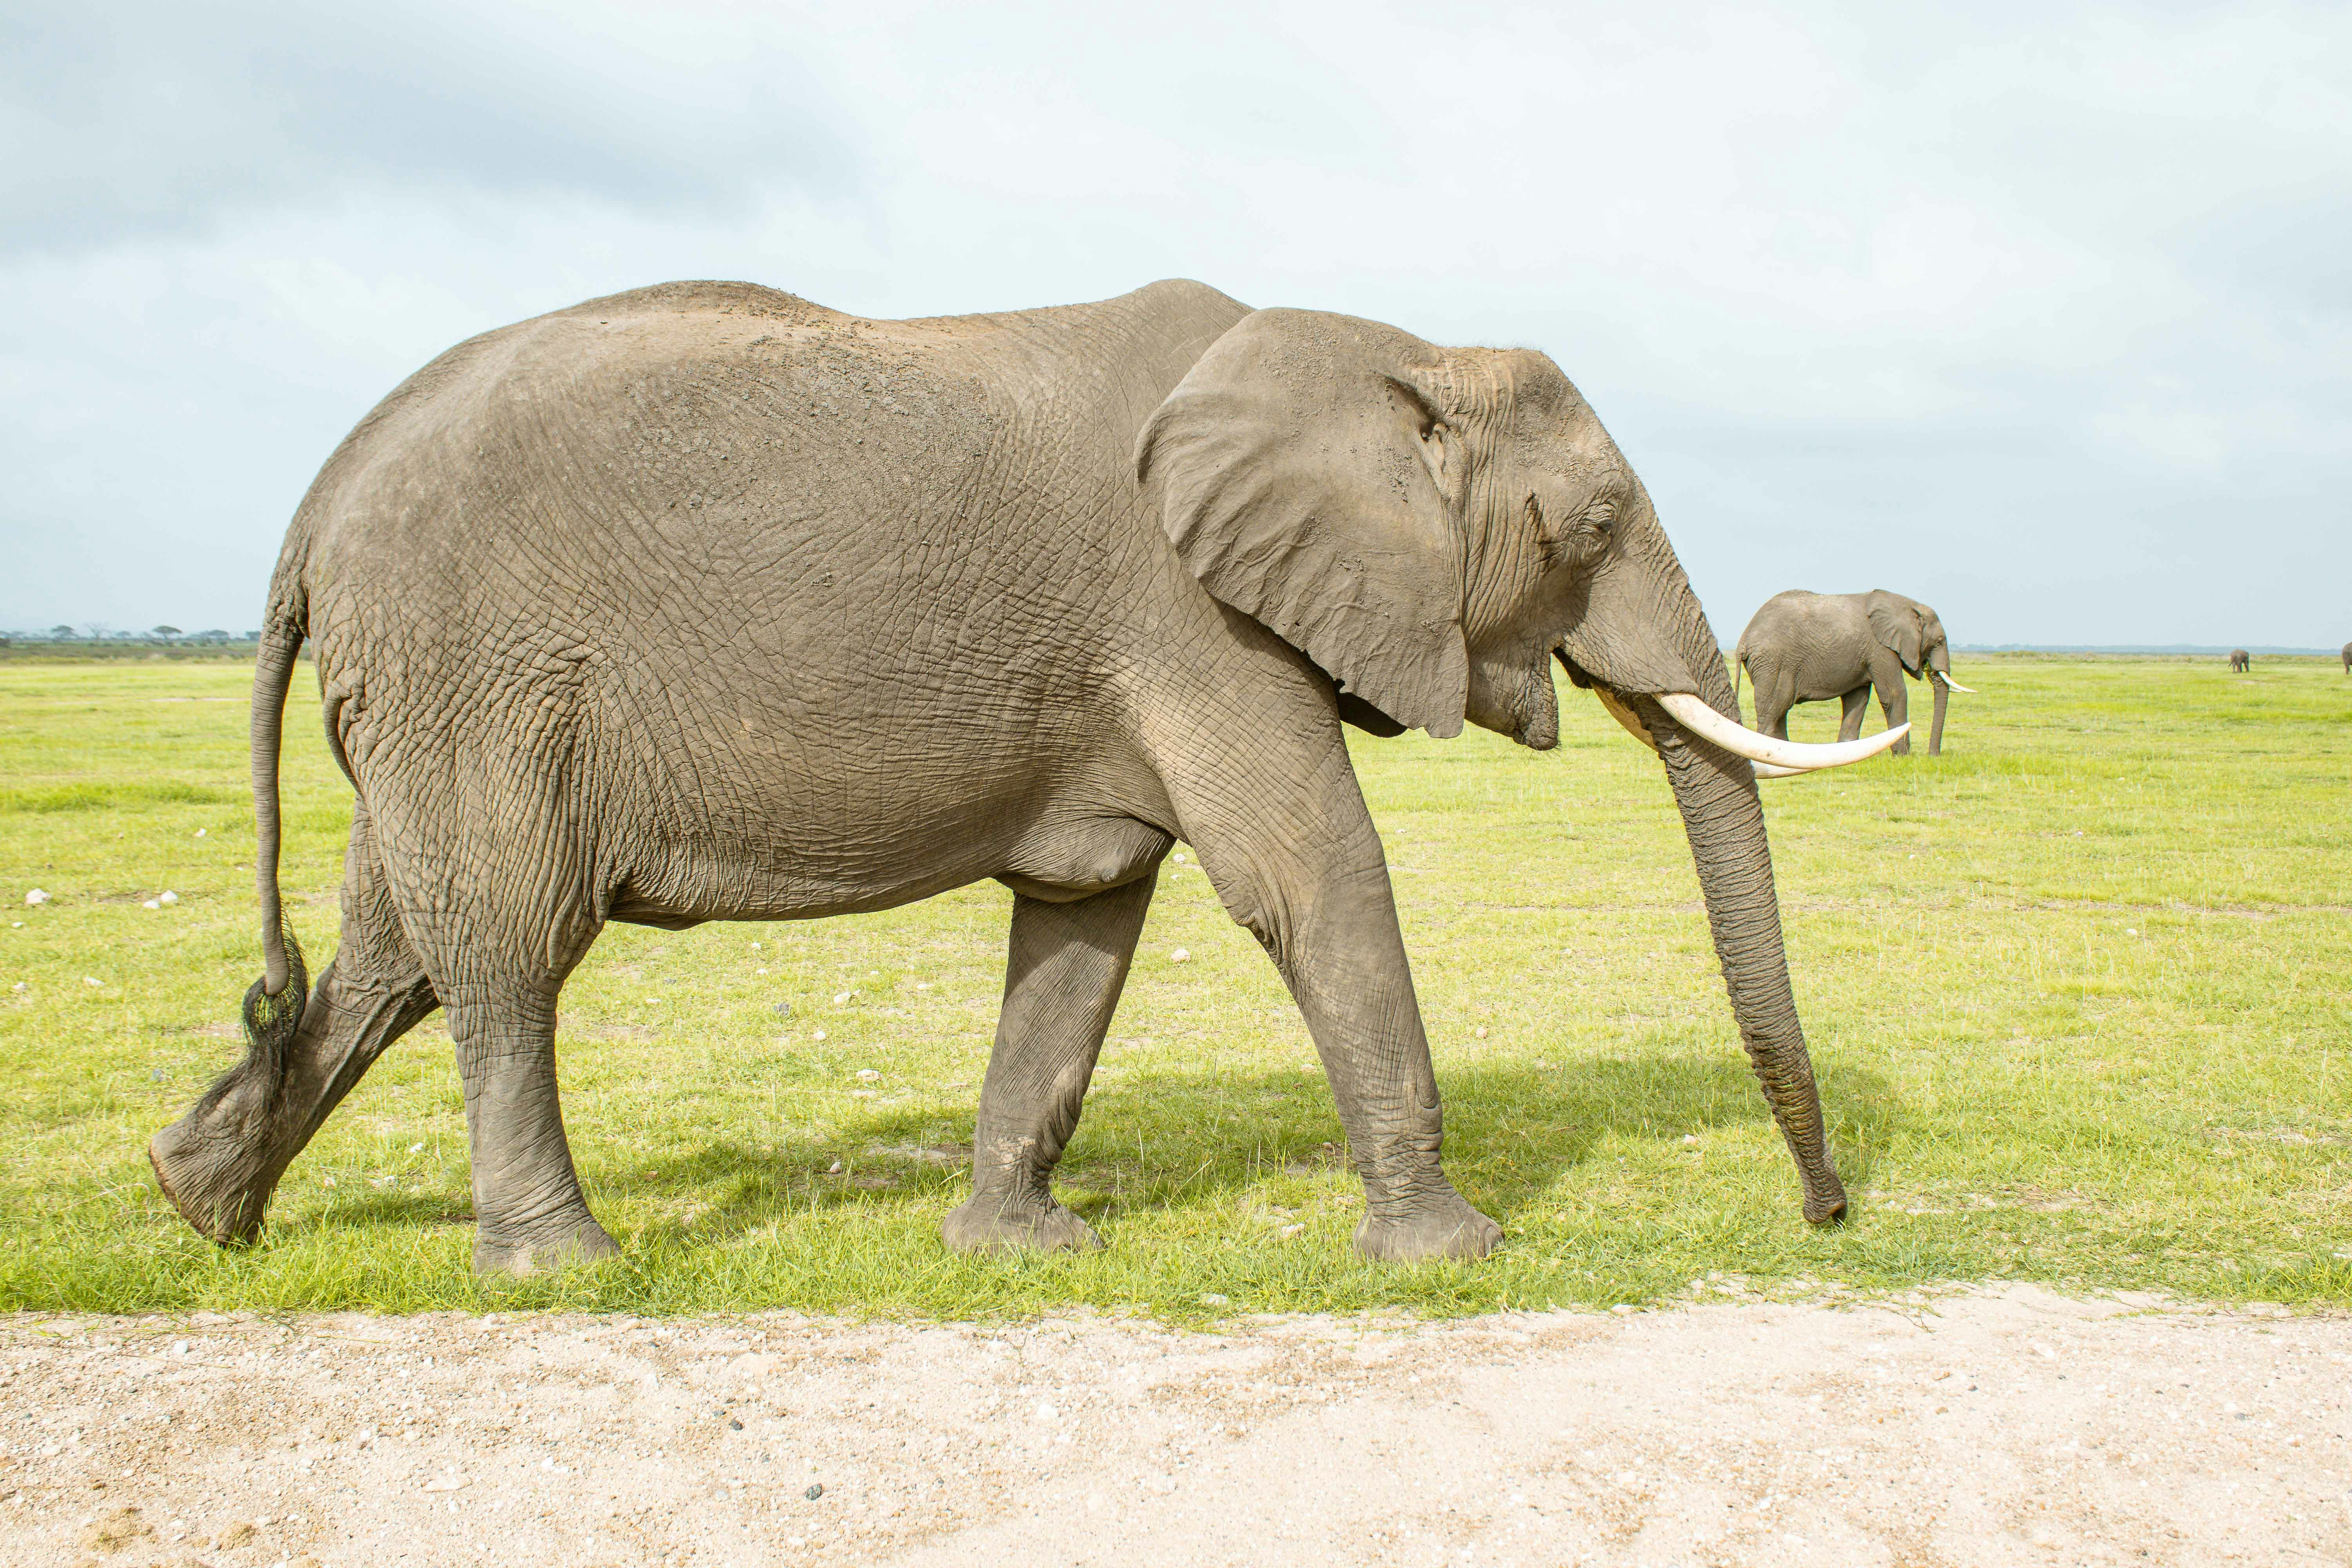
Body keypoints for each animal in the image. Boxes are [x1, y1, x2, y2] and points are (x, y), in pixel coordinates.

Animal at [149, 279, 1899, 1276]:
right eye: (1595, 526)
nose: (1827, 1216)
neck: (1391, 353)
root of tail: (310, 509)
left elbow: (1084, 920)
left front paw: (1018, 1250)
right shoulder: (1187, 614)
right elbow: (1313, 873)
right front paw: (1454, 1258)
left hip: (428, 700)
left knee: (394, 957)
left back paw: (199, 1208)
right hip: (480, 680)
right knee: (507, 958)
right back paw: (566, 1270)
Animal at [1735, 590, 1972, 757]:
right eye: (1939, 642)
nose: (1934, 756)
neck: (1908, 606)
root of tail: (1744, 640)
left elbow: (1857, 700)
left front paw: (1846, 752)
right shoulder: (1880, 648)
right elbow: (1894, 695)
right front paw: (1904, 756)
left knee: (1780, 711)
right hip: (1775, 664)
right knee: (1774, 709)